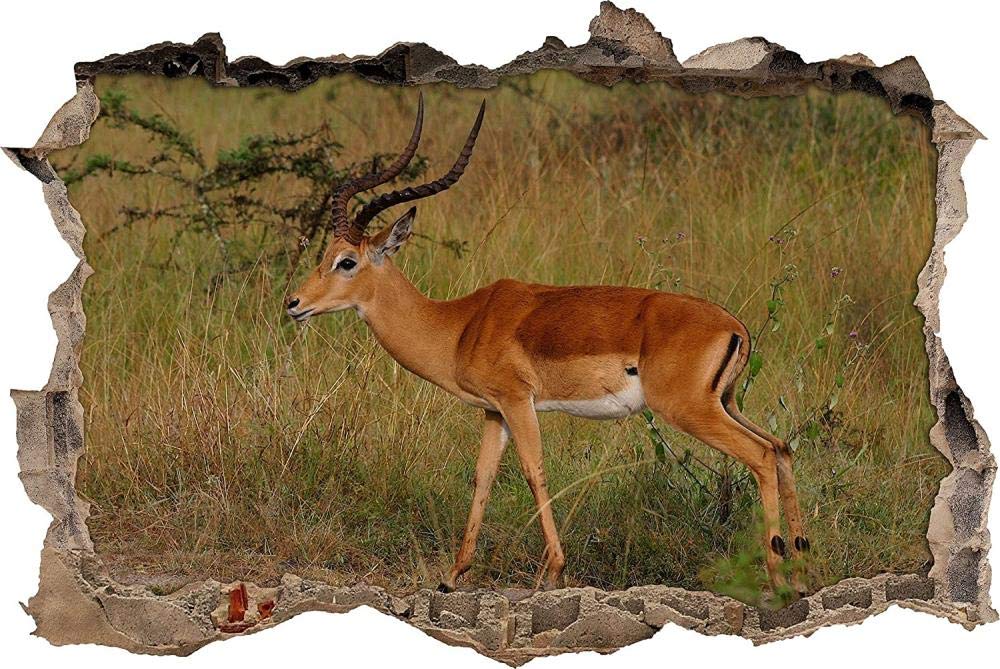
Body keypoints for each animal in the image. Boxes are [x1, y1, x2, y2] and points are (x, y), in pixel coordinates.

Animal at [287, 94, 809, 594]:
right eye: (325, 254)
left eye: (347, 261)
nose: (293, 303)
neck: (461, 324)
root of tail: (735, 326)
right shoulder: (493, 410)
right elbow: (482, 477)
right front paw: (453, 575)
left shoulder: (519, 401)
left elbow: (534, 470)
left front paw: (553, 570)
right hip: (726, 402)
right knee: (781, 447)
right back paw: (801, 573)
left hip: (688, 409)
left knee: (762, 456)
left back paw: (777, 578)